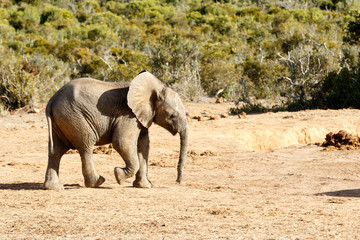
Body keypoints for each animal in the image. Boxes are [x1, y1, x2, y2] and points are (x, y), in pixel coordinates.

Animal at [43, 70, 188, 190]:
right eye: (173, 116)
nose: (177, 182)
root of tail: (52, 100)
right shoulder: (128, 114)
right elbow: (122, 142)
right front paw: (119, 176)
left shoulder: (141, 118)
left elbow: (143, 145)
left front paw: (144, 186)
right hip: (74, 117)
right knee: (86, 145)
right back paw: (98, 182)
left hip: (61, 119)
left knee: (56, 151)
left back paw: (54, 188)